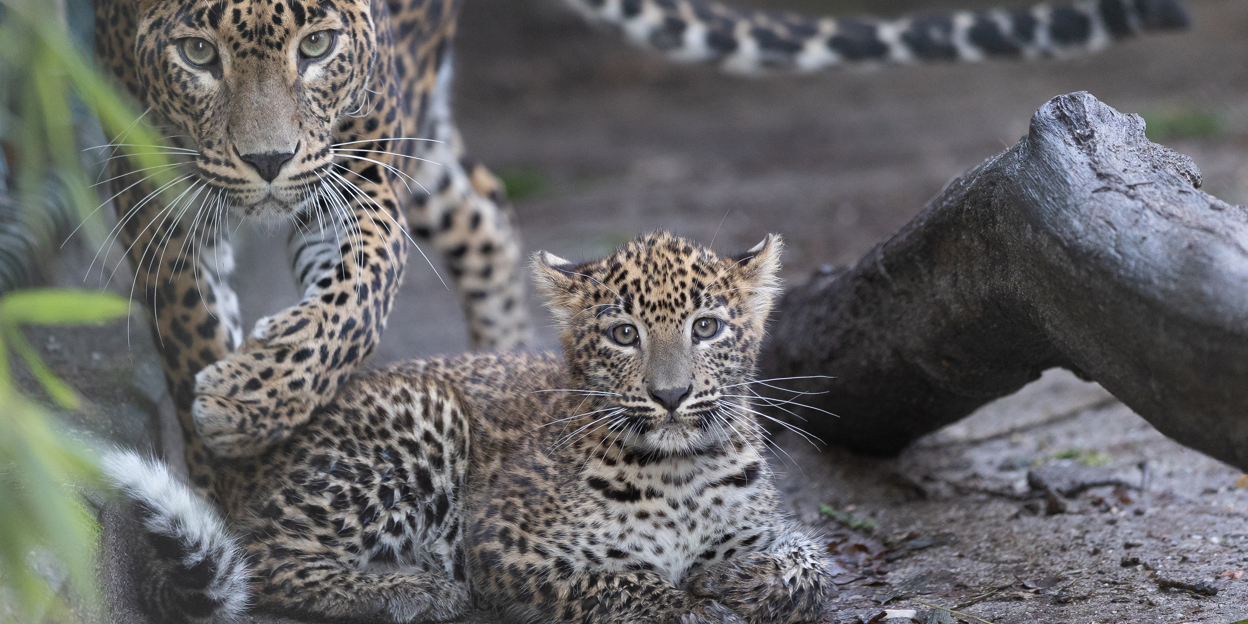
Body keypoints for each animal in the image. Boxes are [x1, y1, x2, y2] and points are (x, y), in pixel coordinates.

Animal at [106, 231, 833, 624]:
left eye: (706, 327)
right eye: (624, 335)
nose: (672, 394)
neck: (679, 469)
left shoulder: (764, 527)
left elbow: (807, 561)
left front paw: (741, 581)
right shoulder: (504, 542)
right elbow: (621, 580)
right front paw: (688, 603)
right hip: (426, 419)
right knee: (263, 558)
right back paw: (414, 588)